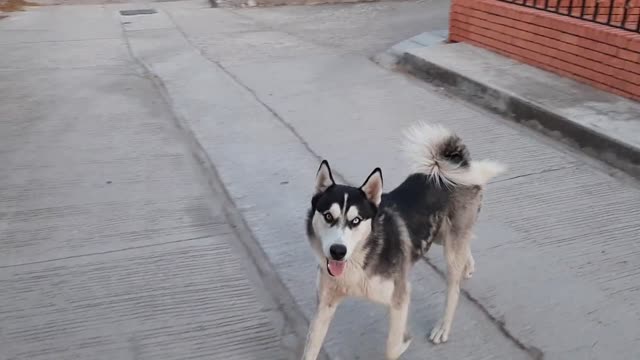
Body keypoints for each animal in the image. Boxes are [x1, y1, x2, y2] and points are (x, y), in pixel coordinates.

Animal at [302, 122, 508, 358]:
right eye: (328, 216)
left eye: (356, 220)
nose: (338, 251)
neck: (359, 261)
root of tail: (455, 166)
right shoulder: (325, 305)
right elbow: (310, 349)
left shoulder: (399, 297)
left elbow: (392, 345)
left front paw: (404, 342)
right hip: (440, 235)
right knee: (465, 245)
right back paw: (468, 265)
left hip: (450, 246)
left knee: (454, 289)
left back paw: (443, 327)